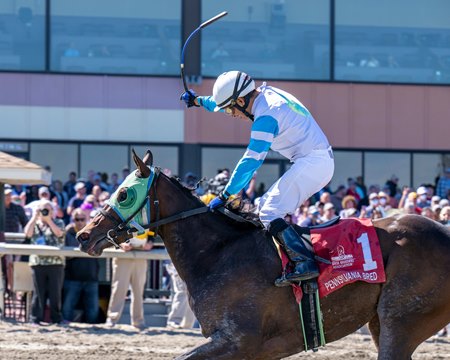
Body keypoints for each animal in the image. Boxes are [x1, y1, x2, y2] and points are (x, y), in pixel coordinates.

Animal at [76, 150, 450, 358]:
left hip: (401, 321)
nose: (83, 235)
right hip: (382, 323)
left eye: (123, 194)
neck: (218, 253)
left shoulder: (239, 341)